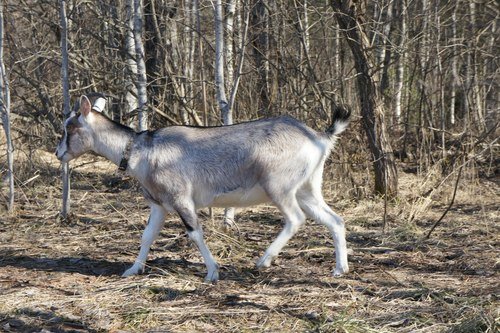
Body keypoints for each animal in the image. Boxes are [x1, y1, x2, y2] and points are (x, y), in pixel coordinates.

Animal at [55, 93, 352, 280]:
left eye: (69, 128)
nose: (59, 154)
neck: (141, 151)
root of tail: (319, 138)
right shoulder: (159, 205)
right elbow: (147, 236)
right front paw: (132, 270)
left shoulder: (181, 198)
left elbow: (195, 233)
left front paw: (212, 272)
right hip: (307, 188)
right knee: (335, 220)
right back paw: (340, 269)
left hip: (279, 186)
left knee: (296, 218)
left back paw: (264, 260)